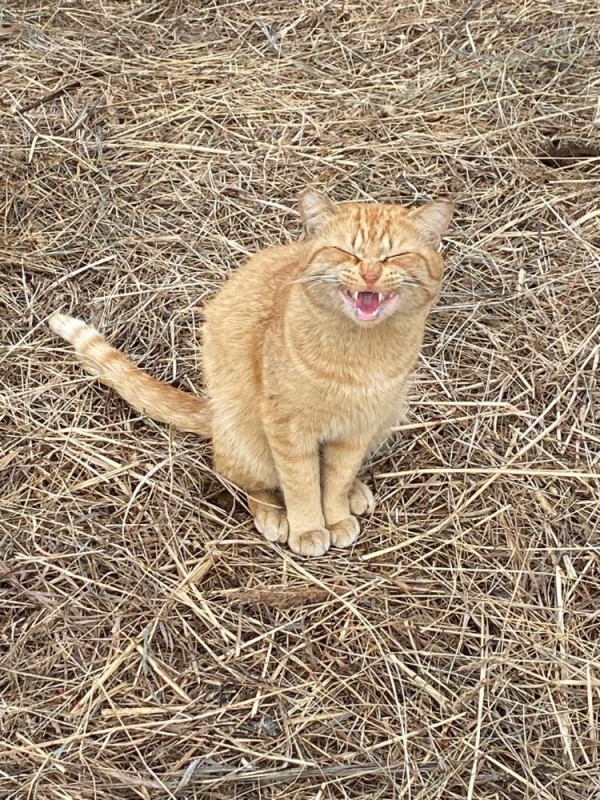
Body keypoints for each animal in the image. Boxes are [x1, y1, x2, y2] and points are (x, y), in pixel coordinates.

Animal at [50, 192, 450, 556]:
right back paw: (273, 516)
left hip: (388, 416)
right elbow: (301, 484)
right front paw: (308, 529)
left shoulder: (358, 429)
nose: (370, 273)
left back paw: (356, 493)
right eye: (345, 252)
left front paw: (335, 516)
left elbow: (336, 479)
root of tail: (213, 411)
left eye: (395, 256)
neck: (358, 357)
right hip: (248, 438)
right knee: (248, 482)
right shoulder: (288, 429)